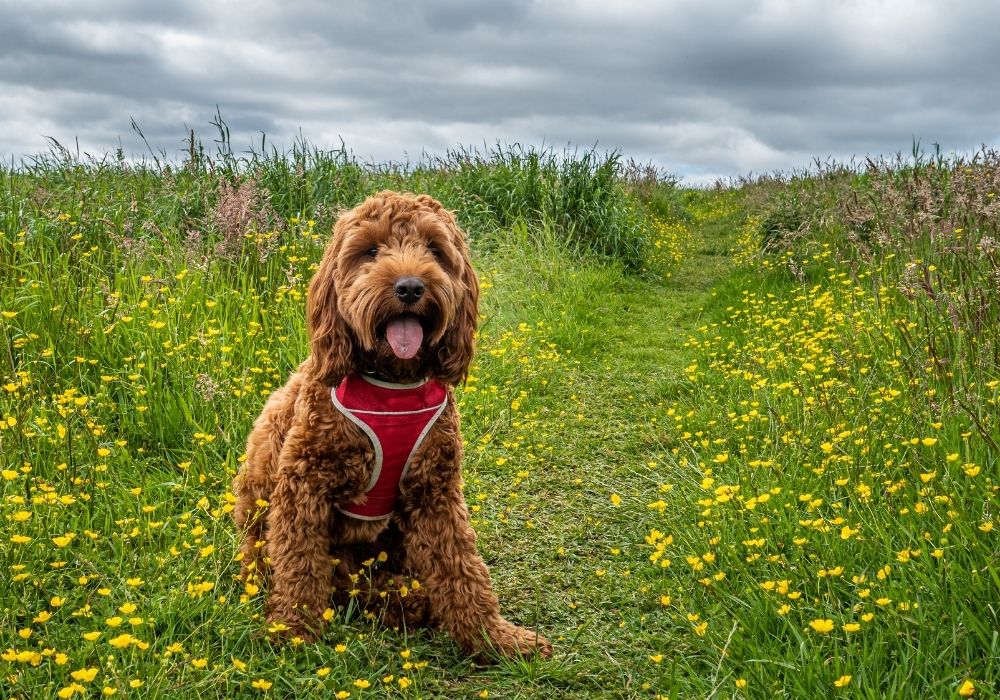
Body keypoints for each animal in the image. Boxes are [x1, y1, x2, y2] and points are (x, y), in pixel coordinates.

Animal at [235, 189, 556, 660]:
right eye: (371, 251)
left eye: (434, 250)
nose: (409, 287)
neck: (392, 383)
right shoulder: (302, 485)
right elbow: (298, 565)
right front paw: (293, 631)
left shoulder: (435, 490)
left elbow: (463, 568)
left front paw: (494, 637)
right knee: (314, 577)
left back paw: (408, 600)